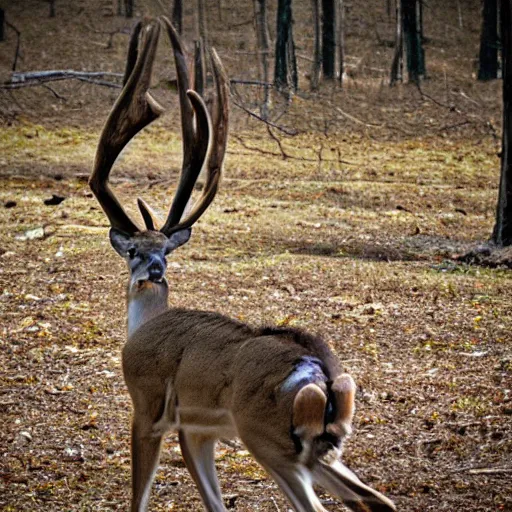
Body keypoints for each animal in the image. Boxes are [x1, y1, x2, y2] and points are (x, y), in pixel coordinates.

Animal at [90, 15, 398, 512]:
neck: (143, 323)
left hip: (265, 435)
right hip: (317, 448)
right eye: (140, 250)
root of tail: (324, 374)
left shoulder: (148, 403)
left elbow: (139, 497)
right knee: (375, 500)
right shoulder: (198, 429)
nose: (154, 270)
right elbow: (213, 501)